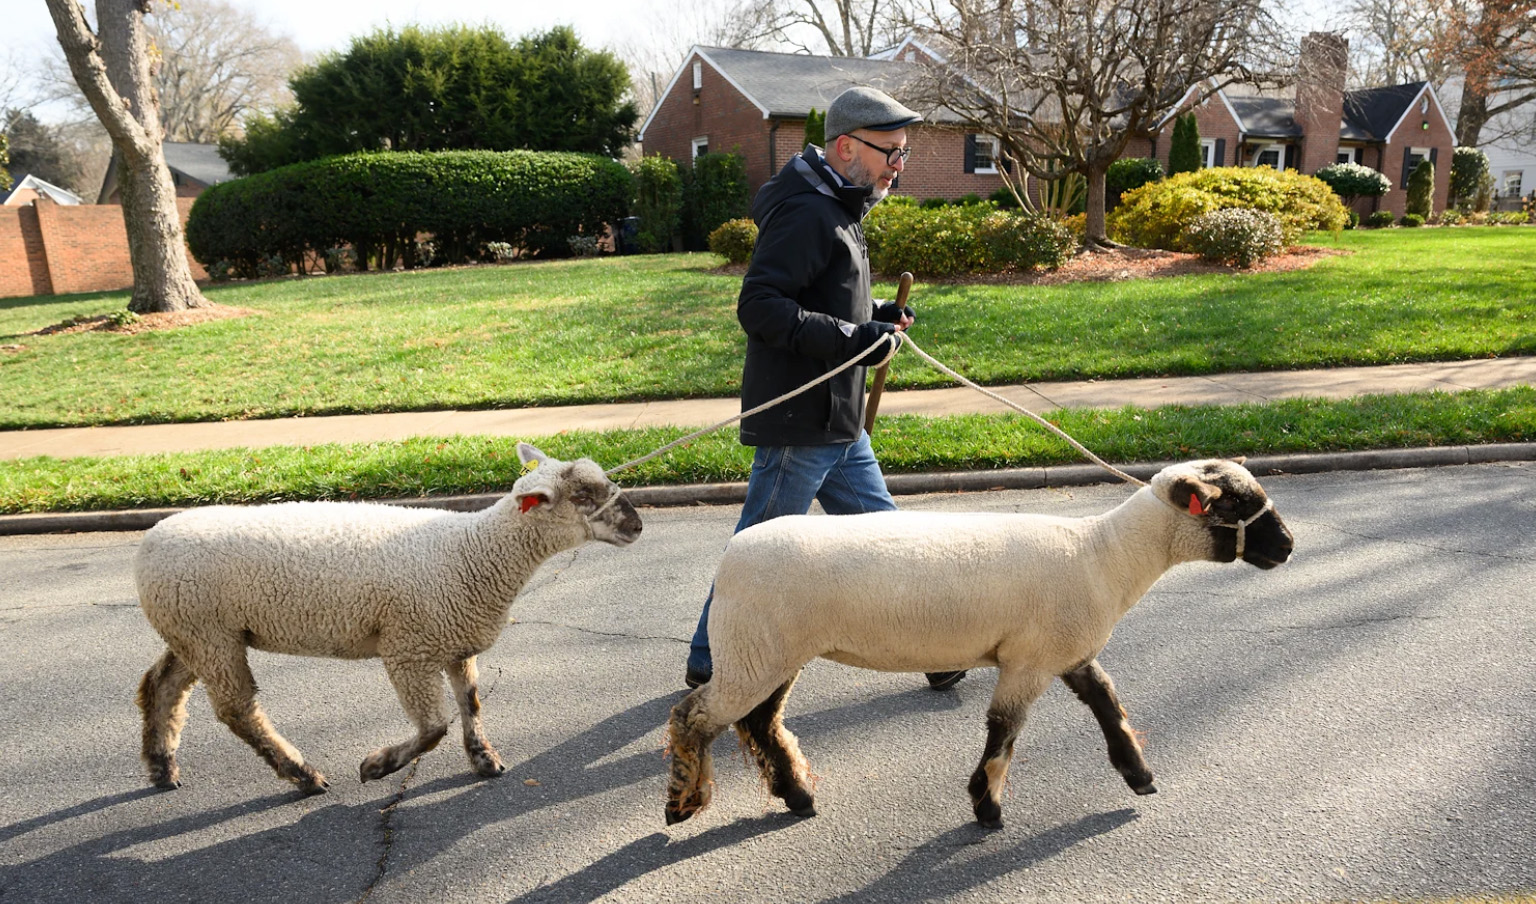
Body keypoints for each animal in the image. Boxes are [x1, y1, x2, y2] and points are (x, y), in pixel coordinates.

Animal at [133, 442, 641, 794]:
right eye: (581, 495)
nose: (637, 525)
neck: (474, 552)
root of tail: (149, 544)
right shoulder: (407, 650)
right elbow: (434, 728)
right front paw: (377, 766)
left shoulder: (456, 641)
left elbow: (471, 704)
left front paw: (483, 759)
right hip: (209, 633)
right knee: (237, 709)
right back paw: (302, 775)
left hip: (197, 630)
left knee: (162, 685)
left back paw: (161, 766)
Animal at [665, 458, 1293, 828]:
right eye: (1235, 503)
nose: (1287, 546)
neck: (1106, 557)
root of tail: (729, 556)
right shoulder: (1028, 661)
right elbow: (1005, 732)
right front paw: (987, 807)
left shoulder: (1065, 652)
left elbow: (1108, 706)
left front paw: (1140, 776)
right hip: (753, 649)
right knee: (694, 716)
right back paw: (683, 803)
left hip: (773, 651)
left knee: (761, 721)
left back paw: (797, 796)